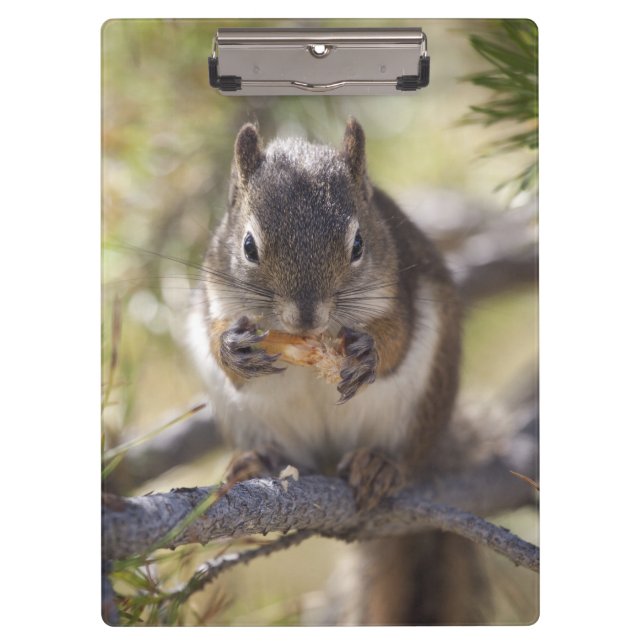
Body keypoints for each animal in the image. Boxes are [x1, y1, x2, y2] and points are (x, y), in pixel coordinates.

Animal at [188, 118, 490, 624]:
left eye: (358, 245)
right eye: (248, 246)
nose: (307, 316)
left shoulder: (399, 290)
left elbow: (397, 338)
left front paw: (369, 354)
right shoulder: (214, 294)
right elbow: (221, 347)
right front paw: (232, 349)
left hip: (423, 402)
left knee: (408, 459)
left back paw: (380, 467)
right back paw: (258, 462)